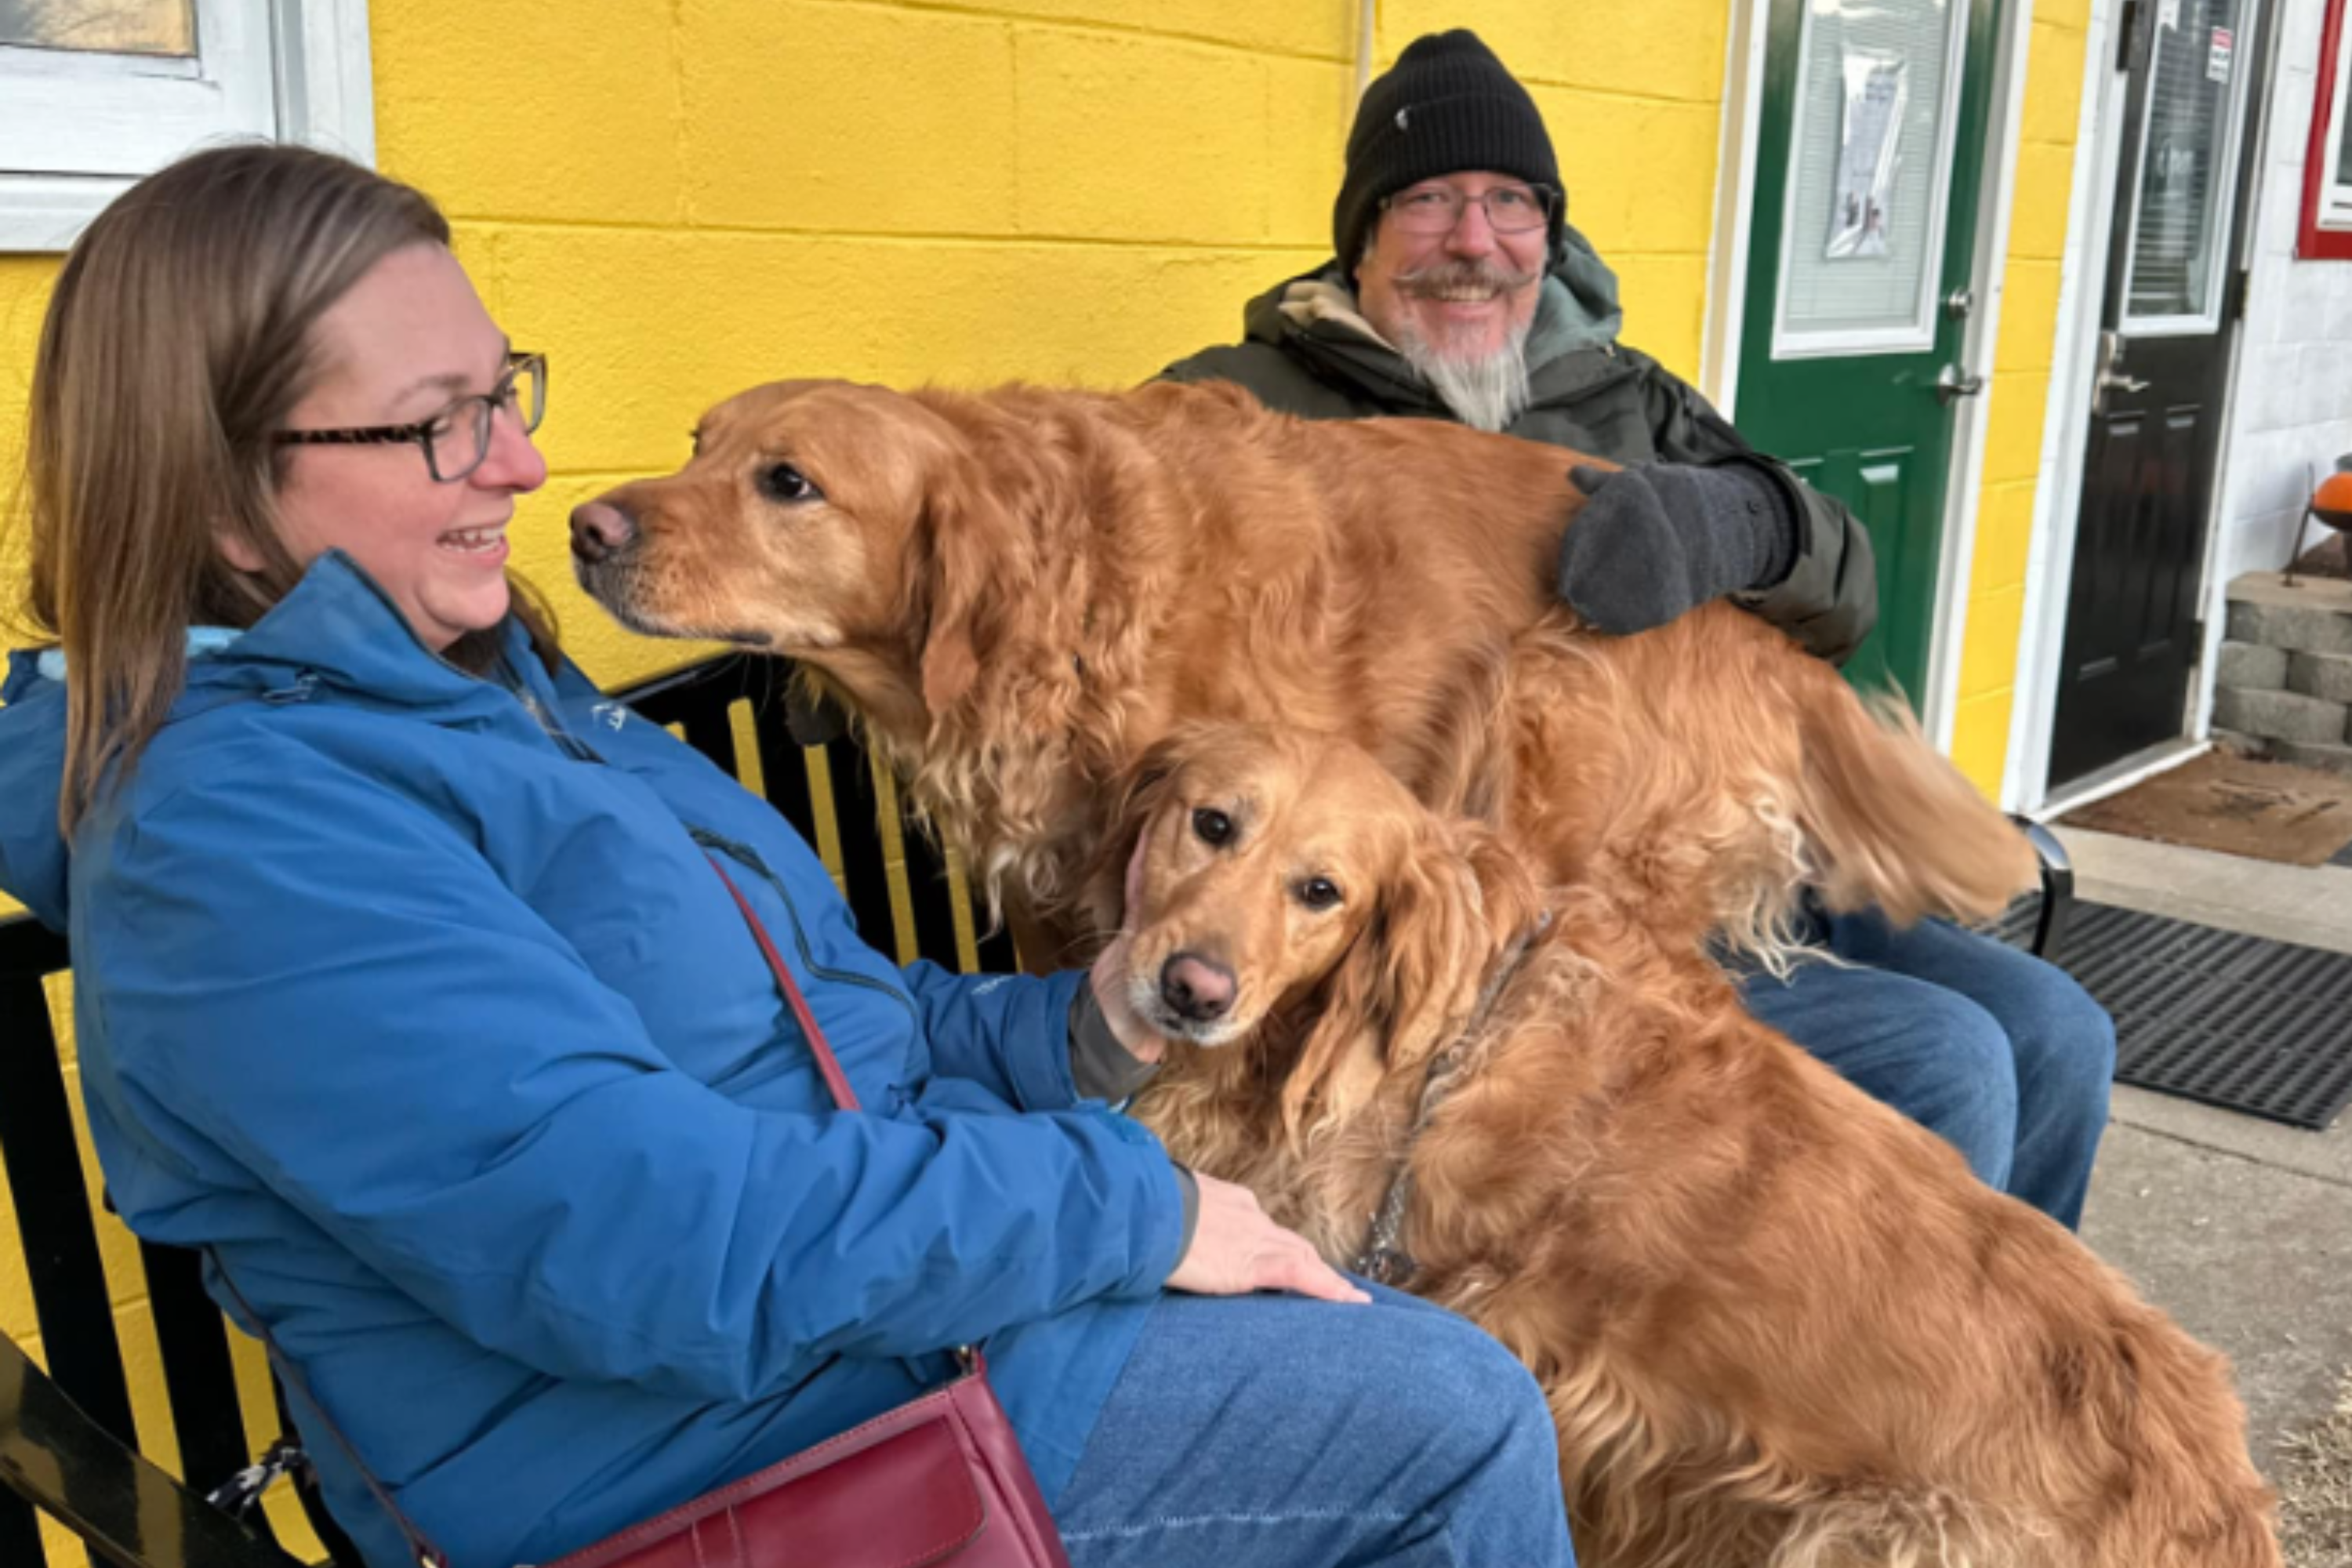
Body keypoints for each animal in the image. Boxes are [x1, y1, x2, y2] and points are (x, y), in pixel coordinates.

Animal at [574, 380, 2042, 968]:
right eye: (699, 441)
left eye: (788, 483)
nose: (587, 525)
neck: (1062, 591)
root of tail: (1766, 640)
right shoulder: (1054, 893)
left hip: (1541, 703)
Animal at [1110, 724, 2286, 1568]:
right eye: (1210, 824)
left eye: (1323, 891)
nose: (1190, 987)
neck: (1440, 1032)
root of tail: (2227, 1504)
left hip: (1856, 1544)